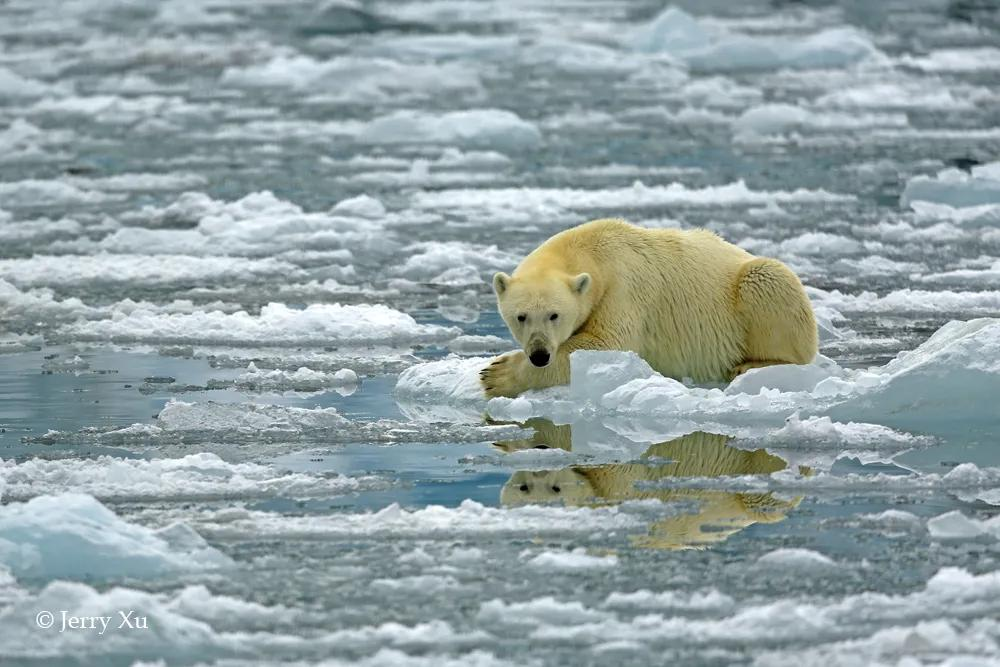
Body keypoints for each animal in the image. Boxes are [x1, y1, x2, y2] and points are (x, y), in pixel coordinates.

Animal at [480, 218, 816, 396]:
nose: (539, 355)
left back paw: (751, 365)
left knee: (768, 282)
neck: (592, 249)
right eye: (521, 316)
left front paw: (496, 374)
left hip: (751, 286)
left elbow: (608, 343)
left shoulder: (624, 288)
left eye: (554, 315)